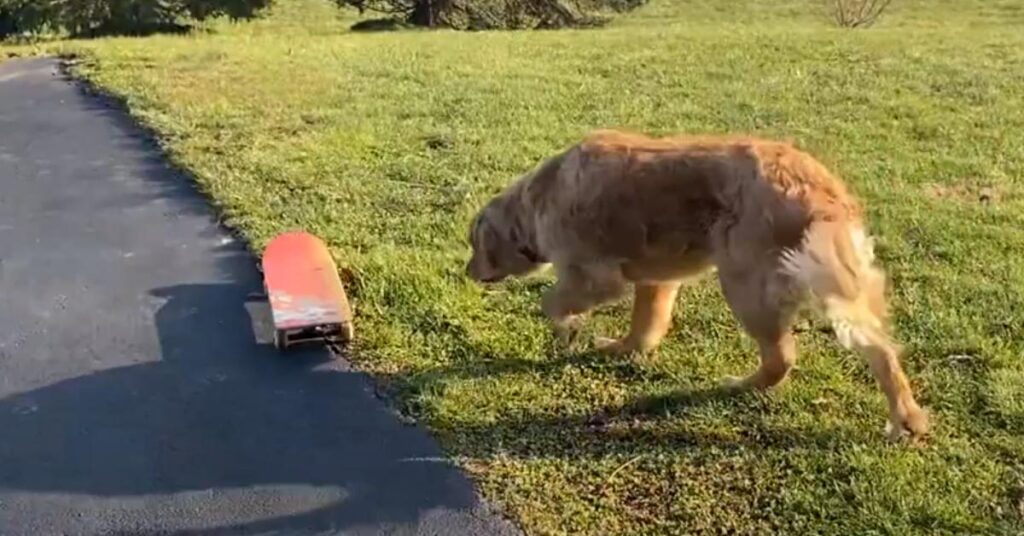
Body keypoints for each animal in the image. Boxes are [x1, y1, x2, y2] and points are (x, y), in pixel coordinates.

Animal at [468, 129, 933, 440]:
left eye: (473, 244)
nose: (468, 272)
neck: (538, 198)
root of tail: (817, 187)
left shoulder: (595, 276)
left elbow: (551, 302)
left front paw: (569, 330)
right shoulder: (656, 280)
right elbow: (644, 328)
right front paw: (621, 349)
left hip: (744, 283)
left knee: (781, 358)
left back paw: (739, 385)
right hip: (838, 286)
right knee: (882, 351)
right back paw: (906, 418)